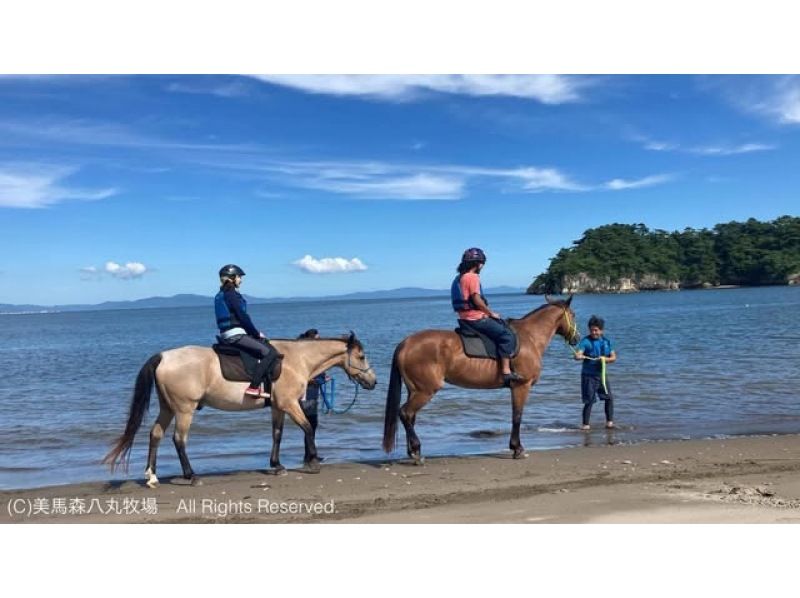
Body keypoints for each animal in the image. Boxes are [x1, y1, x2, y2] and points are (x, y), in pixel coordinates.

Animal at [102, 332, 376, 488]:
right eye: (362, 356)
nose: (373, 382)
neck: (296, 359)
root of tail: (163, 357)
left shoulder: (278, 406)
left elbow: (277, 434)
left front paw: (277, 465)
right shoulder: (289, 403)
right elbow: (308, 427)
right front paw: (313, 461)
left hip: (168, 407)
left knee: (156, 434)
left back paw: (152, 476)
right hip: (184, 409)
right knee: (179, 440)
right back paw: (191, 476)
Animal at [382, 296, 580, 464]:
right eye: (573, 315)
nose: (576, 338)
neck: (529, 337)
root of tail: (405, 343)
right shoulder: (521, 386)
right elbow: (517, 416)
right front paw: (517, 448)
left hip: (414, 390)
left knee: (410, 416)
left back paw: (413, 451)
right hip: (425, 391)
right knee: (405, 413)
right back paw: (416, 451)